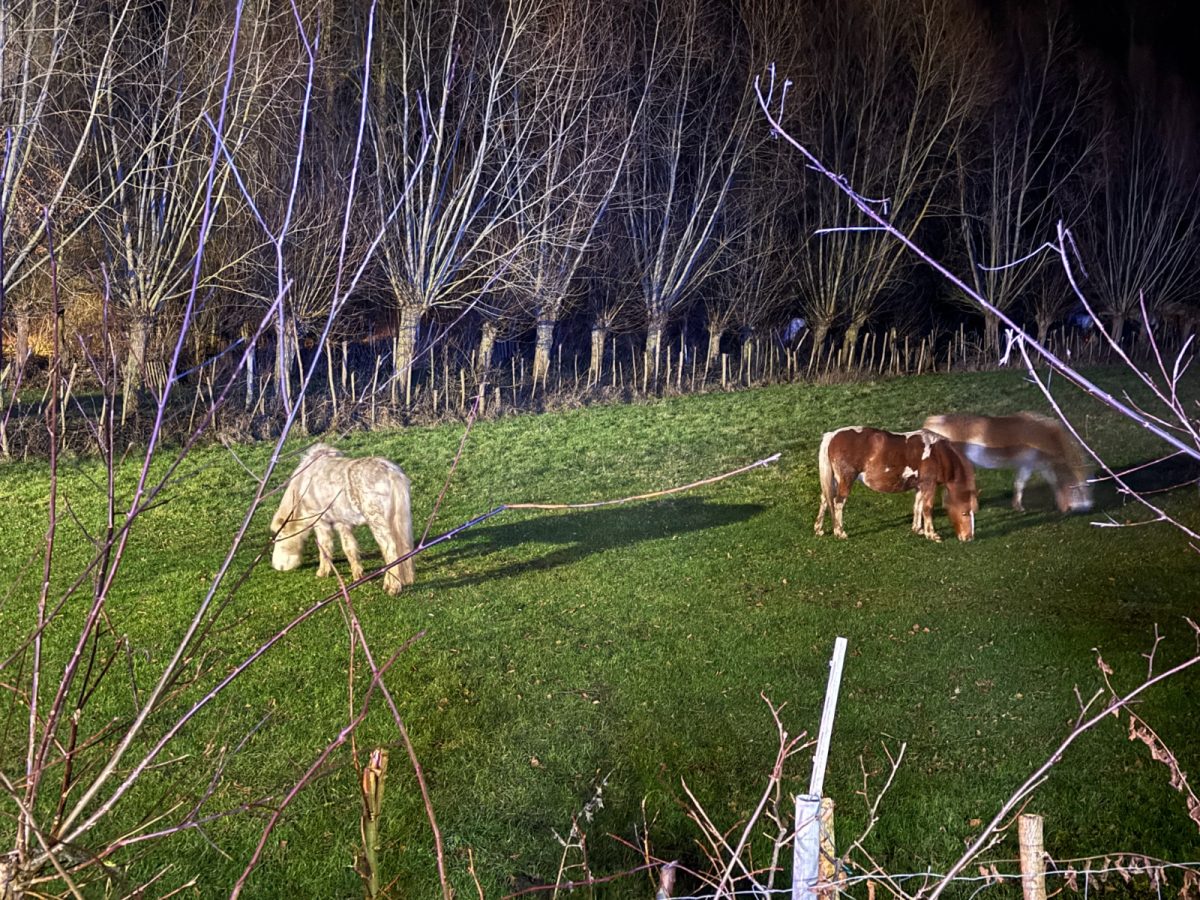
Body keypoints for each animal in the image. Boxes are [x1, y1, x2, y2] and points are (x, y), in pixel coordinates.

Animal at [272, 446, 417, 600]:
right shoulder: (342, 523)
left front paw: (322, 572)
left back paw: (392, 587)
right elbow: (349, 548)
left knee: (390, 550)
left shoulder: (321, 522)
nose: (277, 566)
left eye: (279, 538)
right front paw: (357, 574)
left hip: (378, 522)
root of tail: (391, 472)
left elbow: (325, 547)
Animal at [811, 427, 979, 542]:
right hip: (846, 479)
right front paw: (932, 534)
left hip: (834, 480)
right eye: (964, 512)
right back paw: (840, 532)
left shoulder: (920, 486)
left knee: (825, 499)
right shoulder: (929, 484)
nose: (969, 537)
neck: (938, 454)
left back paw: (819, 529)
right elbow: (927, 507)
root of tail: (832, 435)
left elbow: (918, 506)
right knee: (838, 502)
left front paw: (917, 529)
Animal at [921, 415, 1094, 513]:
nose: (1088, 506)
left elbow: (1020, 483)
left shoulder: (1031, 465)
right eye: (1079, 487)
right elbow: (1040, 482)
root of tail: (930, 423)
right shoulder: (1033, 464)